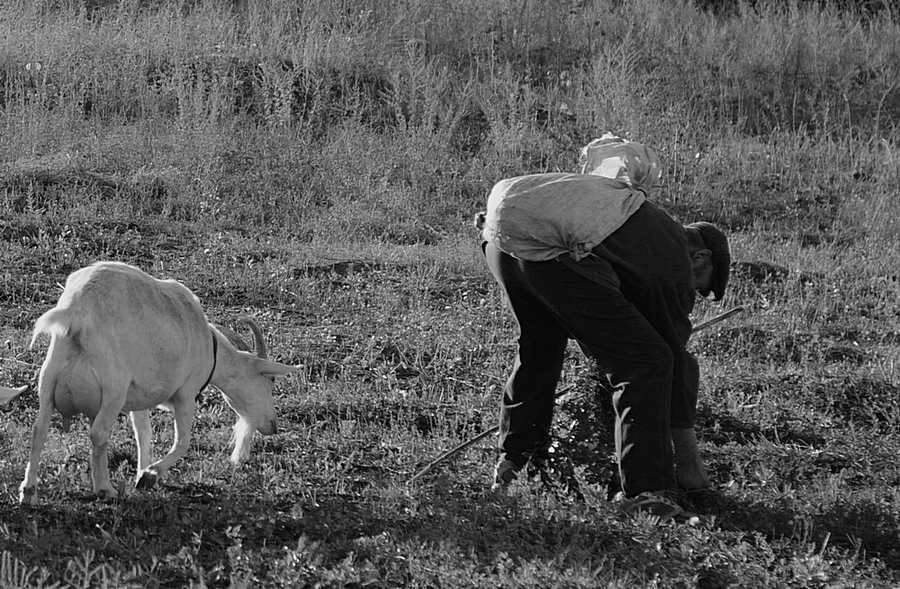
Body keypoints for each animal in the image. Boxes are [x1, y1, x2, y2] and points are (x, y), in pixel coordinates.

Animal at [19, 262, 298, 506]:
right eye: (270, 380)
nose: (273, 425)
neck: (210, 346)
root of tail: (77, 311)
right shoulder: (186, 393)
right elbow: (182, 441)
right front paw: (149, 476)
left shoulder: (139, 394)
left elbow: (143, 434)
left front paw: (142, 471)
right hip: (113, 387)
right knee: (98, 434)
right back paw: (104, 489)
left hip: (50, 376)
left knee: (39, 429)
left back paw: (29, 492)